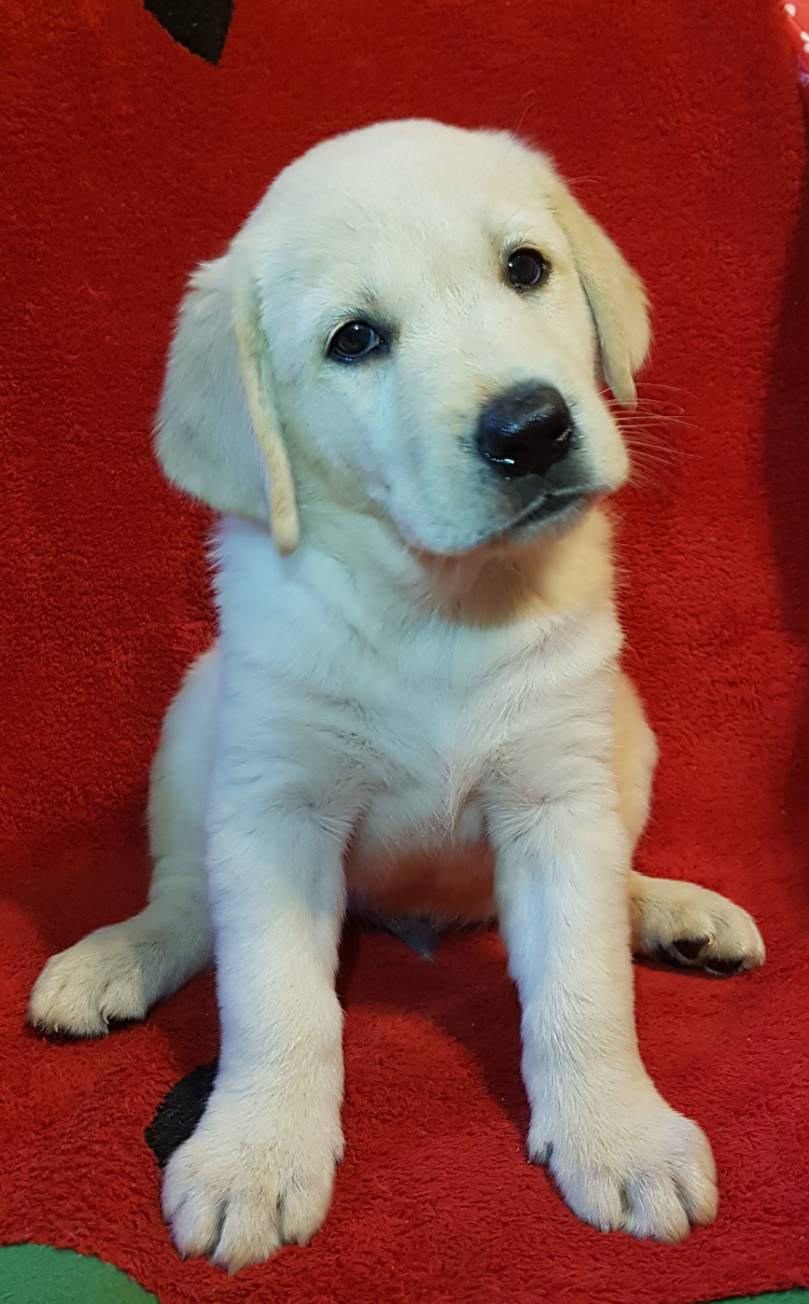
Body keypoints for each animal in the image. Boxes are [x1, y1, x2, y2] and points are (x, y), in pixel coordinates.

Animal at [30, 119, 765, 1270]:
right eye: (354, 340)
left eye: (525, 269)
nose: (531, 427)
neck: (441, 605)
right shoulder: (277, 810)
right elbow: (276, 999)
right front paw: (253, 1152)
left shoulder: (556, 798)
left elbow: (584, 988)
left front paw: (617, 1133)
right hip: (197, 725)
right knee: (188, 898)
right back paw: (116, 954)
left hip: (625, 732)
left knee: (610, 884)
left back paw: (671, 911)